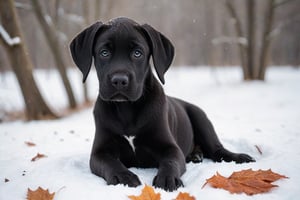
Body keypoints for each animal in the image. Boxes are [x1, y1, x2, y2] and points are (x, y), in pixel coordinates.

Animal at [69, 18, 253, 191]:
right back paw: (195, 155)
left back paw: (239, 157)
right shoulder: (99, 152)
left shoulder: (170, 148)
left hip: (200, 118)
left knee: (217, 150)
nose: (119, 80)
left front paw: (167, 178)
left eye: (137, 53)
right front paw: (123, 176)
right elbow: (110, 163)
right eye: (104, 53)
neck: (127, 109)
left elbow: (170, 162)